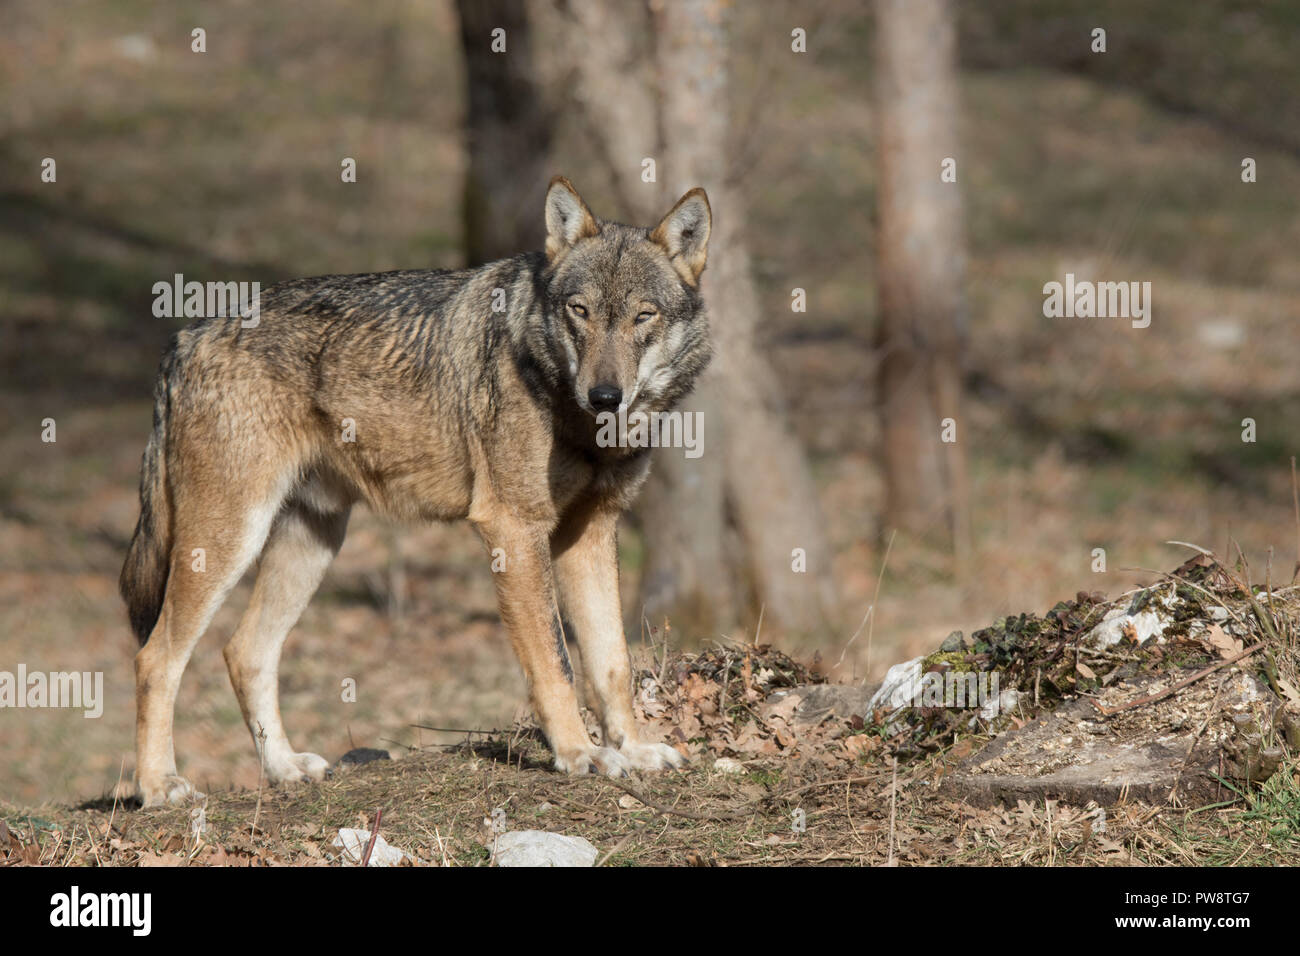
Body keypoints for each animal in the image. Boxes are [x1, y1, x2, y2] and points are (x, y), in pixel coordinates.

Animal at [119, 175, 712, 806]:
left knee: (244, 651)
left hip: (311, 545)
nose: (604, 396)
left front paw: (634, 749)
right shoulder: (514, 529)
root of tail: (185, 336)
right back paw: (159, 787)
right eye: (581, 311)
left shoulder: (591, 531)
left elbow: (611, 661)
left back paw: (283, 768)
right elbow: (557, 663)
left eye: (643, 317)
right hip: (228, 541)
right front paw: (581, 754)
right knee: (154, 658)